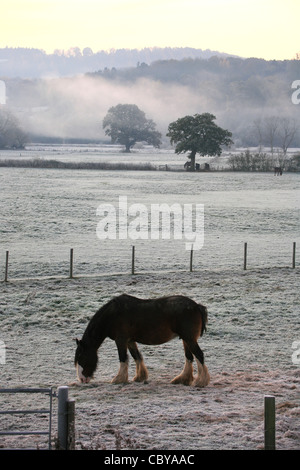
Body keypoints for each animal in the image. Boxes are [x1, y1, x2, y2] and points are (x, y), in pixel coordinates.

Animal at [74, 294, 210, 390]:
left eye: (81, 357)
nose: (81, 379)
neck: (112, 315)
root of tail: (196, 306)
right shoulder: (130, 341)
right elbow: (136, 356)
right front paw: (140, 377)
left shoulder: (121, 340)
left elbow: (123, 358)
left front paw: (119, 379)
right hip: (186, 339)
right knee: (189, 357)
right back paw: (183, 379)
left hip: (189, 339)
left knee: (199, 355)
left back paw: (200, 382)